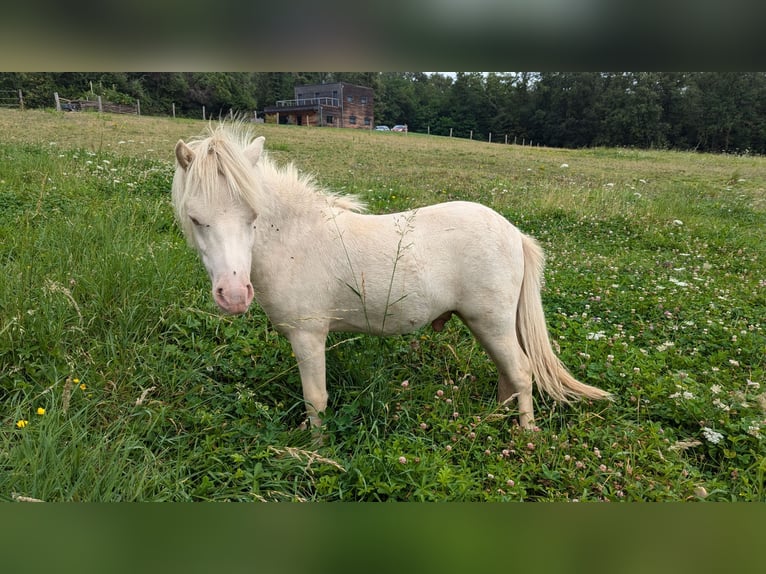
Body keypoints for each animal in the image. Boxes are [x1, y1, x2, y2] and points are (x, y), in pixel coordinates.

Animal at [171, 124, 611, 430]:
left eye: (253, 216)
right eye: (195, 218)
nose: (233, 295)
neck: (295, 238)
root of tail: (515, 233)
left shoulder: (308, 336)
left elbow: (316, 400)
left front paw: (315, 451)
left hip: (493, 322)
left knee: (521, 371)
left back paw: (525, 433)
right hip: (486, 325)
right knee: (509, 374)